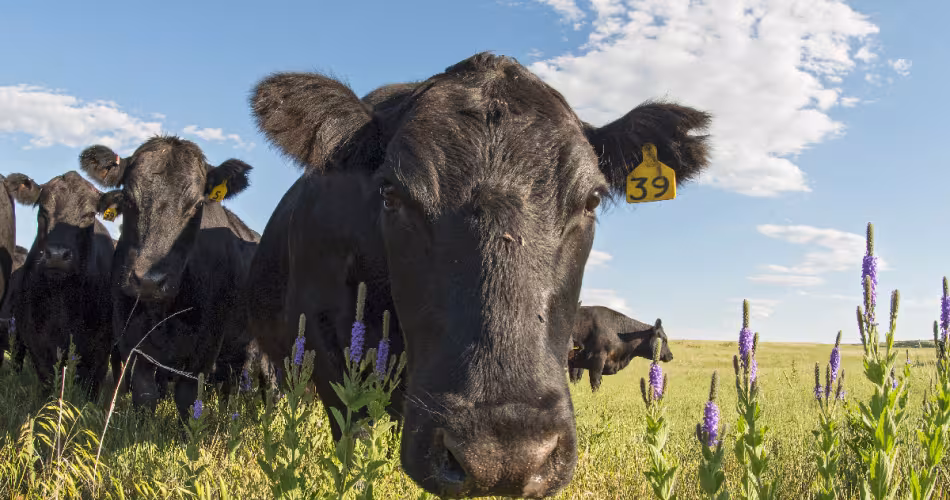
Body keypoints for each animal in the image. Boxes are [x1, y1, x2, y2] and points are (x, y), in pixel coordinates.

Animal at [79, 136, 260, 421]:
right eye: (128, 198)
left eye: (197, 204)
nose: (149, 281)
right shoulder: (131, 339)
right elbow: (144, 394)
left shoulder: (205, 346)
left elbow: (187, 399)